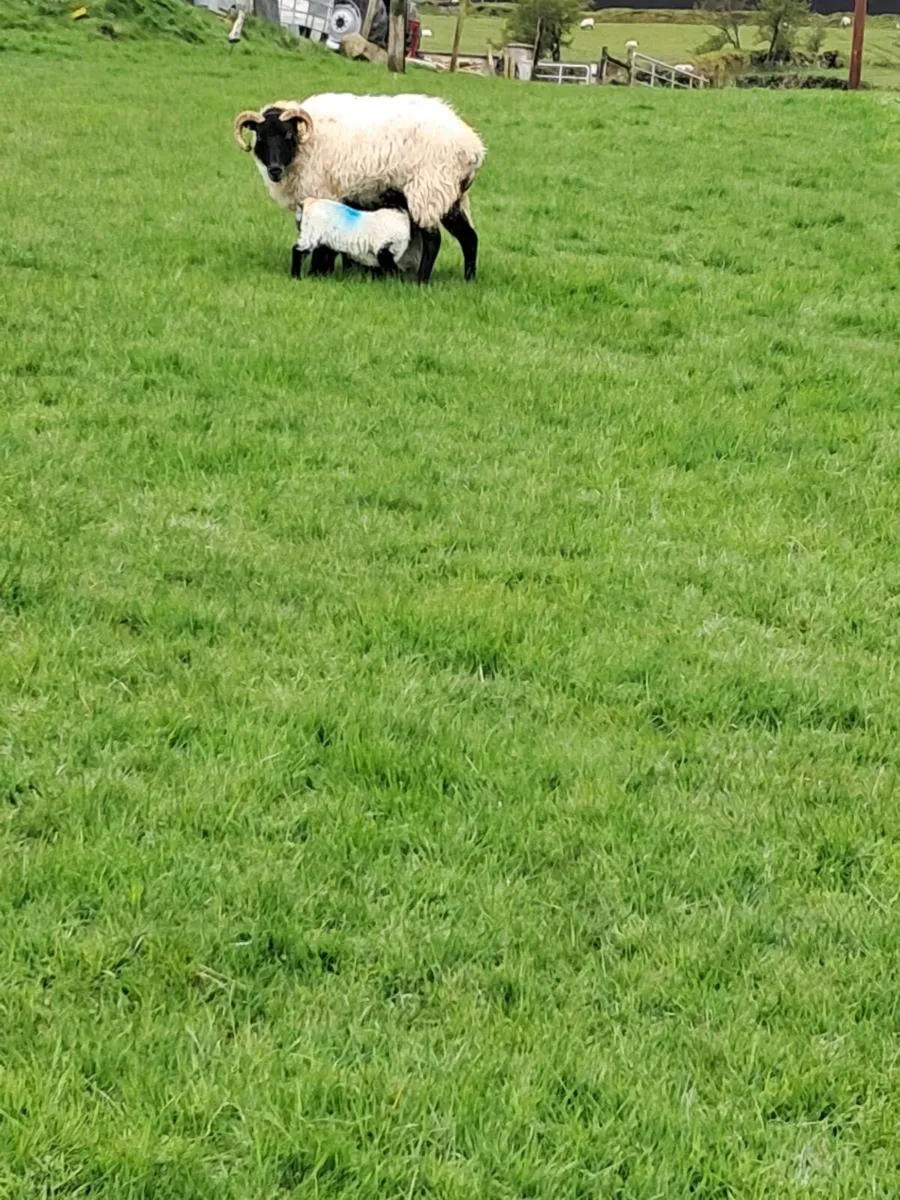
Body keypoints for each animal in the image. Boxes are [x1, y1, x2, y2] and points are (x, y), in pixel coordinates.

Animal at [234, 93, 485, 283]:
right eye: (260, 138)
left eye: (287, 135)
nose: (275, 170)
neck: (306, 143)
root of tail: (473, 147)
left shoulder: (322, 193)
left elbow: (322, 242)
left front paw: (317, 272)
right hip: (452, 195)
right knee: (469, 238)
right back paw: (469, 279)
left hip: (428, 190)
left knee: (433, 240)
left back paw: (421, 281)